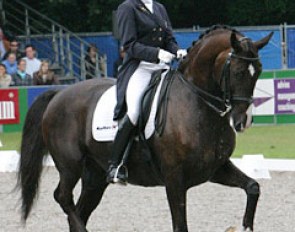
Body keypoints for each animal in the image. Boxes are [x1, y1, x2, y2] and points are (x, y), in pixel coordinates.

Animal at [17, 25, 272, 232]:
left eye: (259, 71)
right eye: (238, 72)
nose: (242, 121)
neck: (197, 104)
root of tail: (58, 93)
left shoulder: (215, 168)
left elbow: (253, 187)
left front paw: (246, 226)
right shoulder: (174, 179)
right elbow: (180, 226)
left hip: (95, 176)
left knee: (79, 209)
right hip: (70, 166)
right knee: (62, 197)